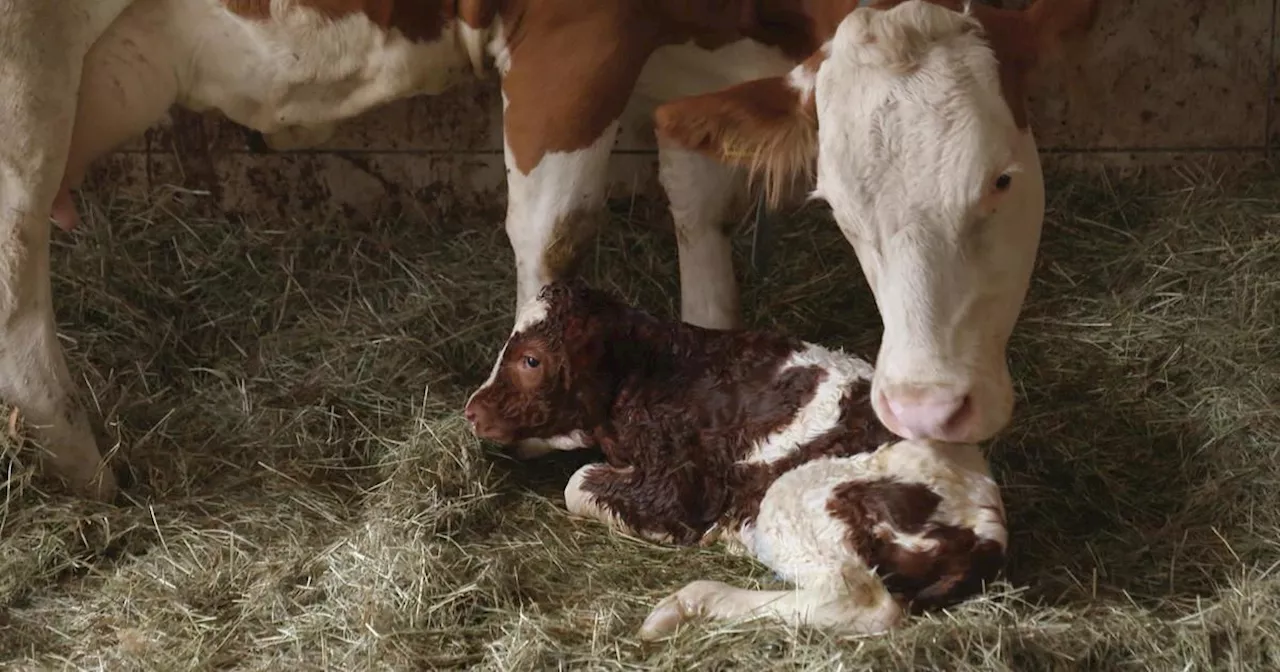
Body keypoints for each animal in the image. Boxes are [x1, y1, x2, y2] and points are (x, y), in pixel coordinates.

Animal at [2, 0, 1100, 496]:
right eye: (843, 205)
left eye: (1003, 177)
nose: (926, 409)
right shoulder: (574, 41)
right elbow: (555, 240)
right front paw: (527, 425)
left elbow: (697, 202)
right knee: (19, 306)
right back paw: (92, 481)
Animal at [465, 279, 1003, 640]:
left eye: (531, 360)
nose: (471, 410)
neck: (657, 366)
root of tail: (985, 522)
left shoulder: (680, 488)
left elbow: (579, 484)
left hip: (795, 495)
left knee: (860, 600)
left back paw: (686, 603)